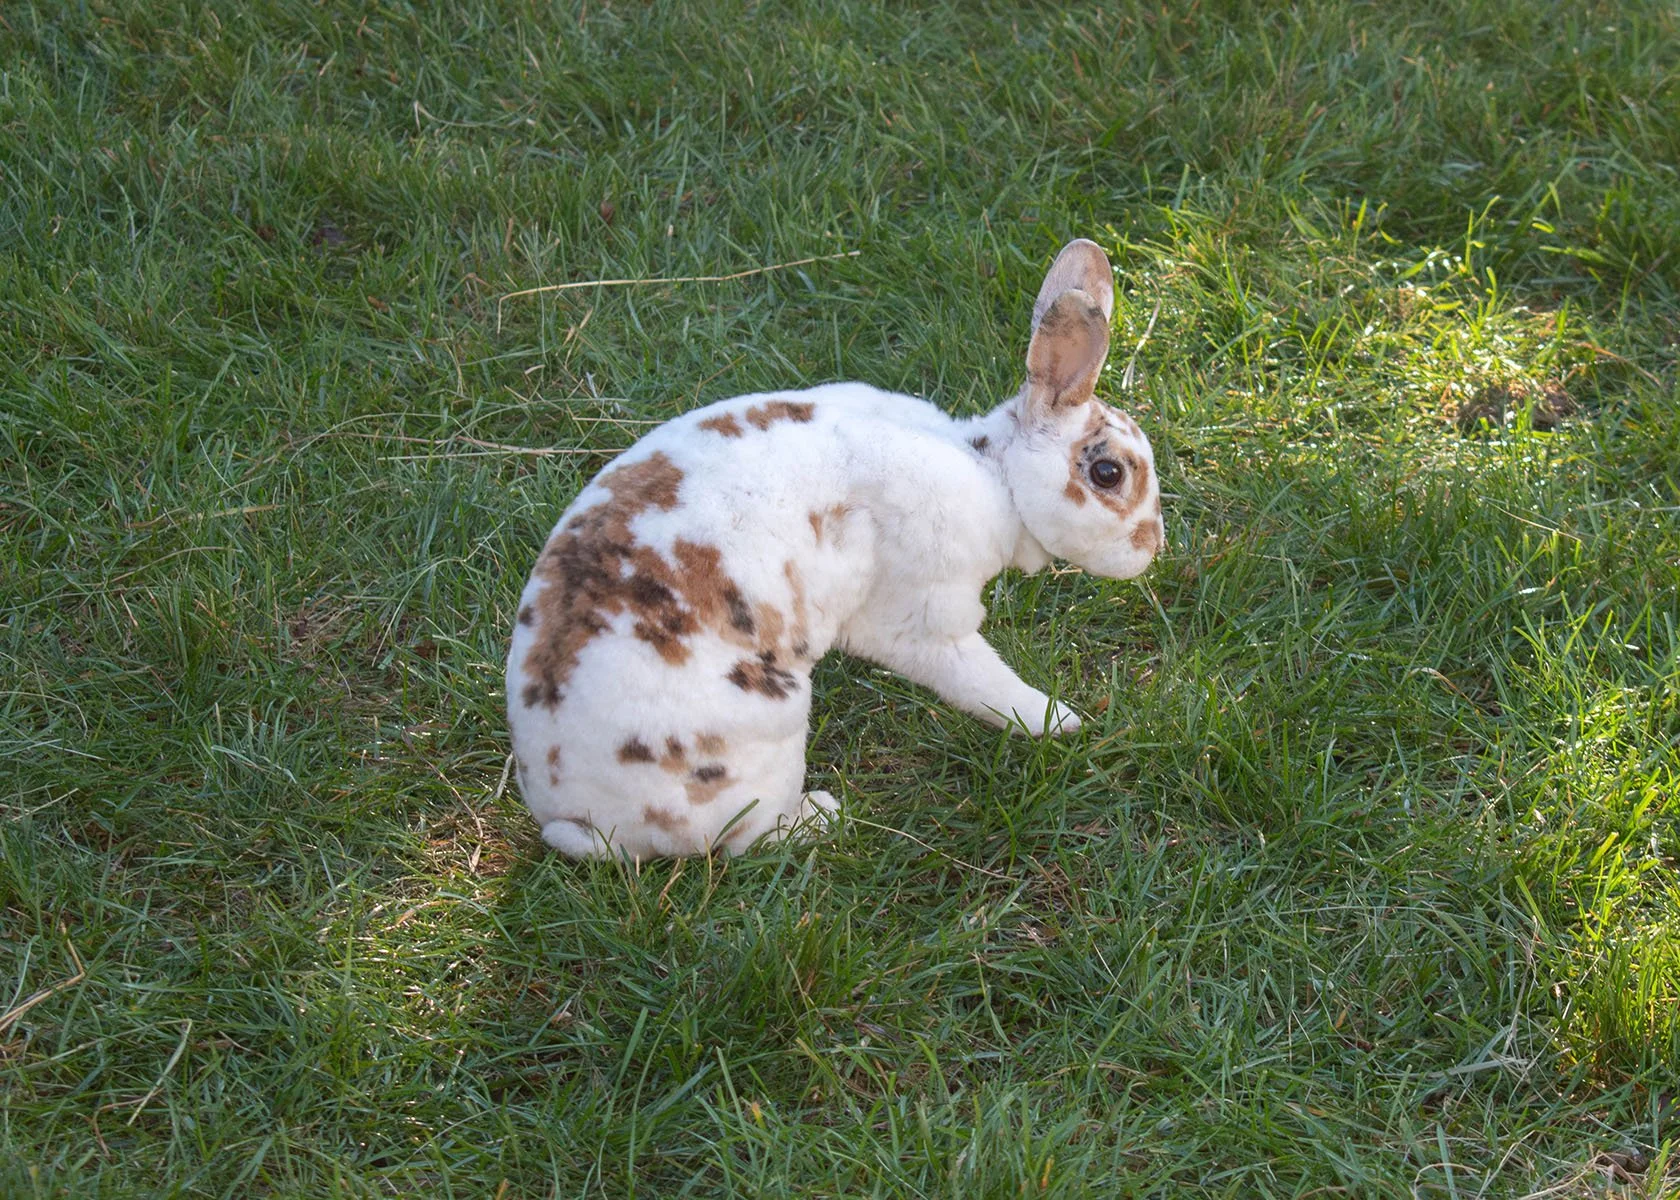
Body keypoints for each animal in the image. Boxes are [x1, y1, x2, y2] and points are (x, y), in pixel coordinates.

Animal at [505, 239, 1163, 859]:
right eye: (1108, 474)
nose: (1153, 547)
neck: (994, 474)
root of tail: (575, 817)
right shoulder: (926, 618)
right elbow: (984, 682)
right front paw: (1059, 719)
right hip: (766, 737)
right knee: (746, 838)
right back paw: (824, 815)